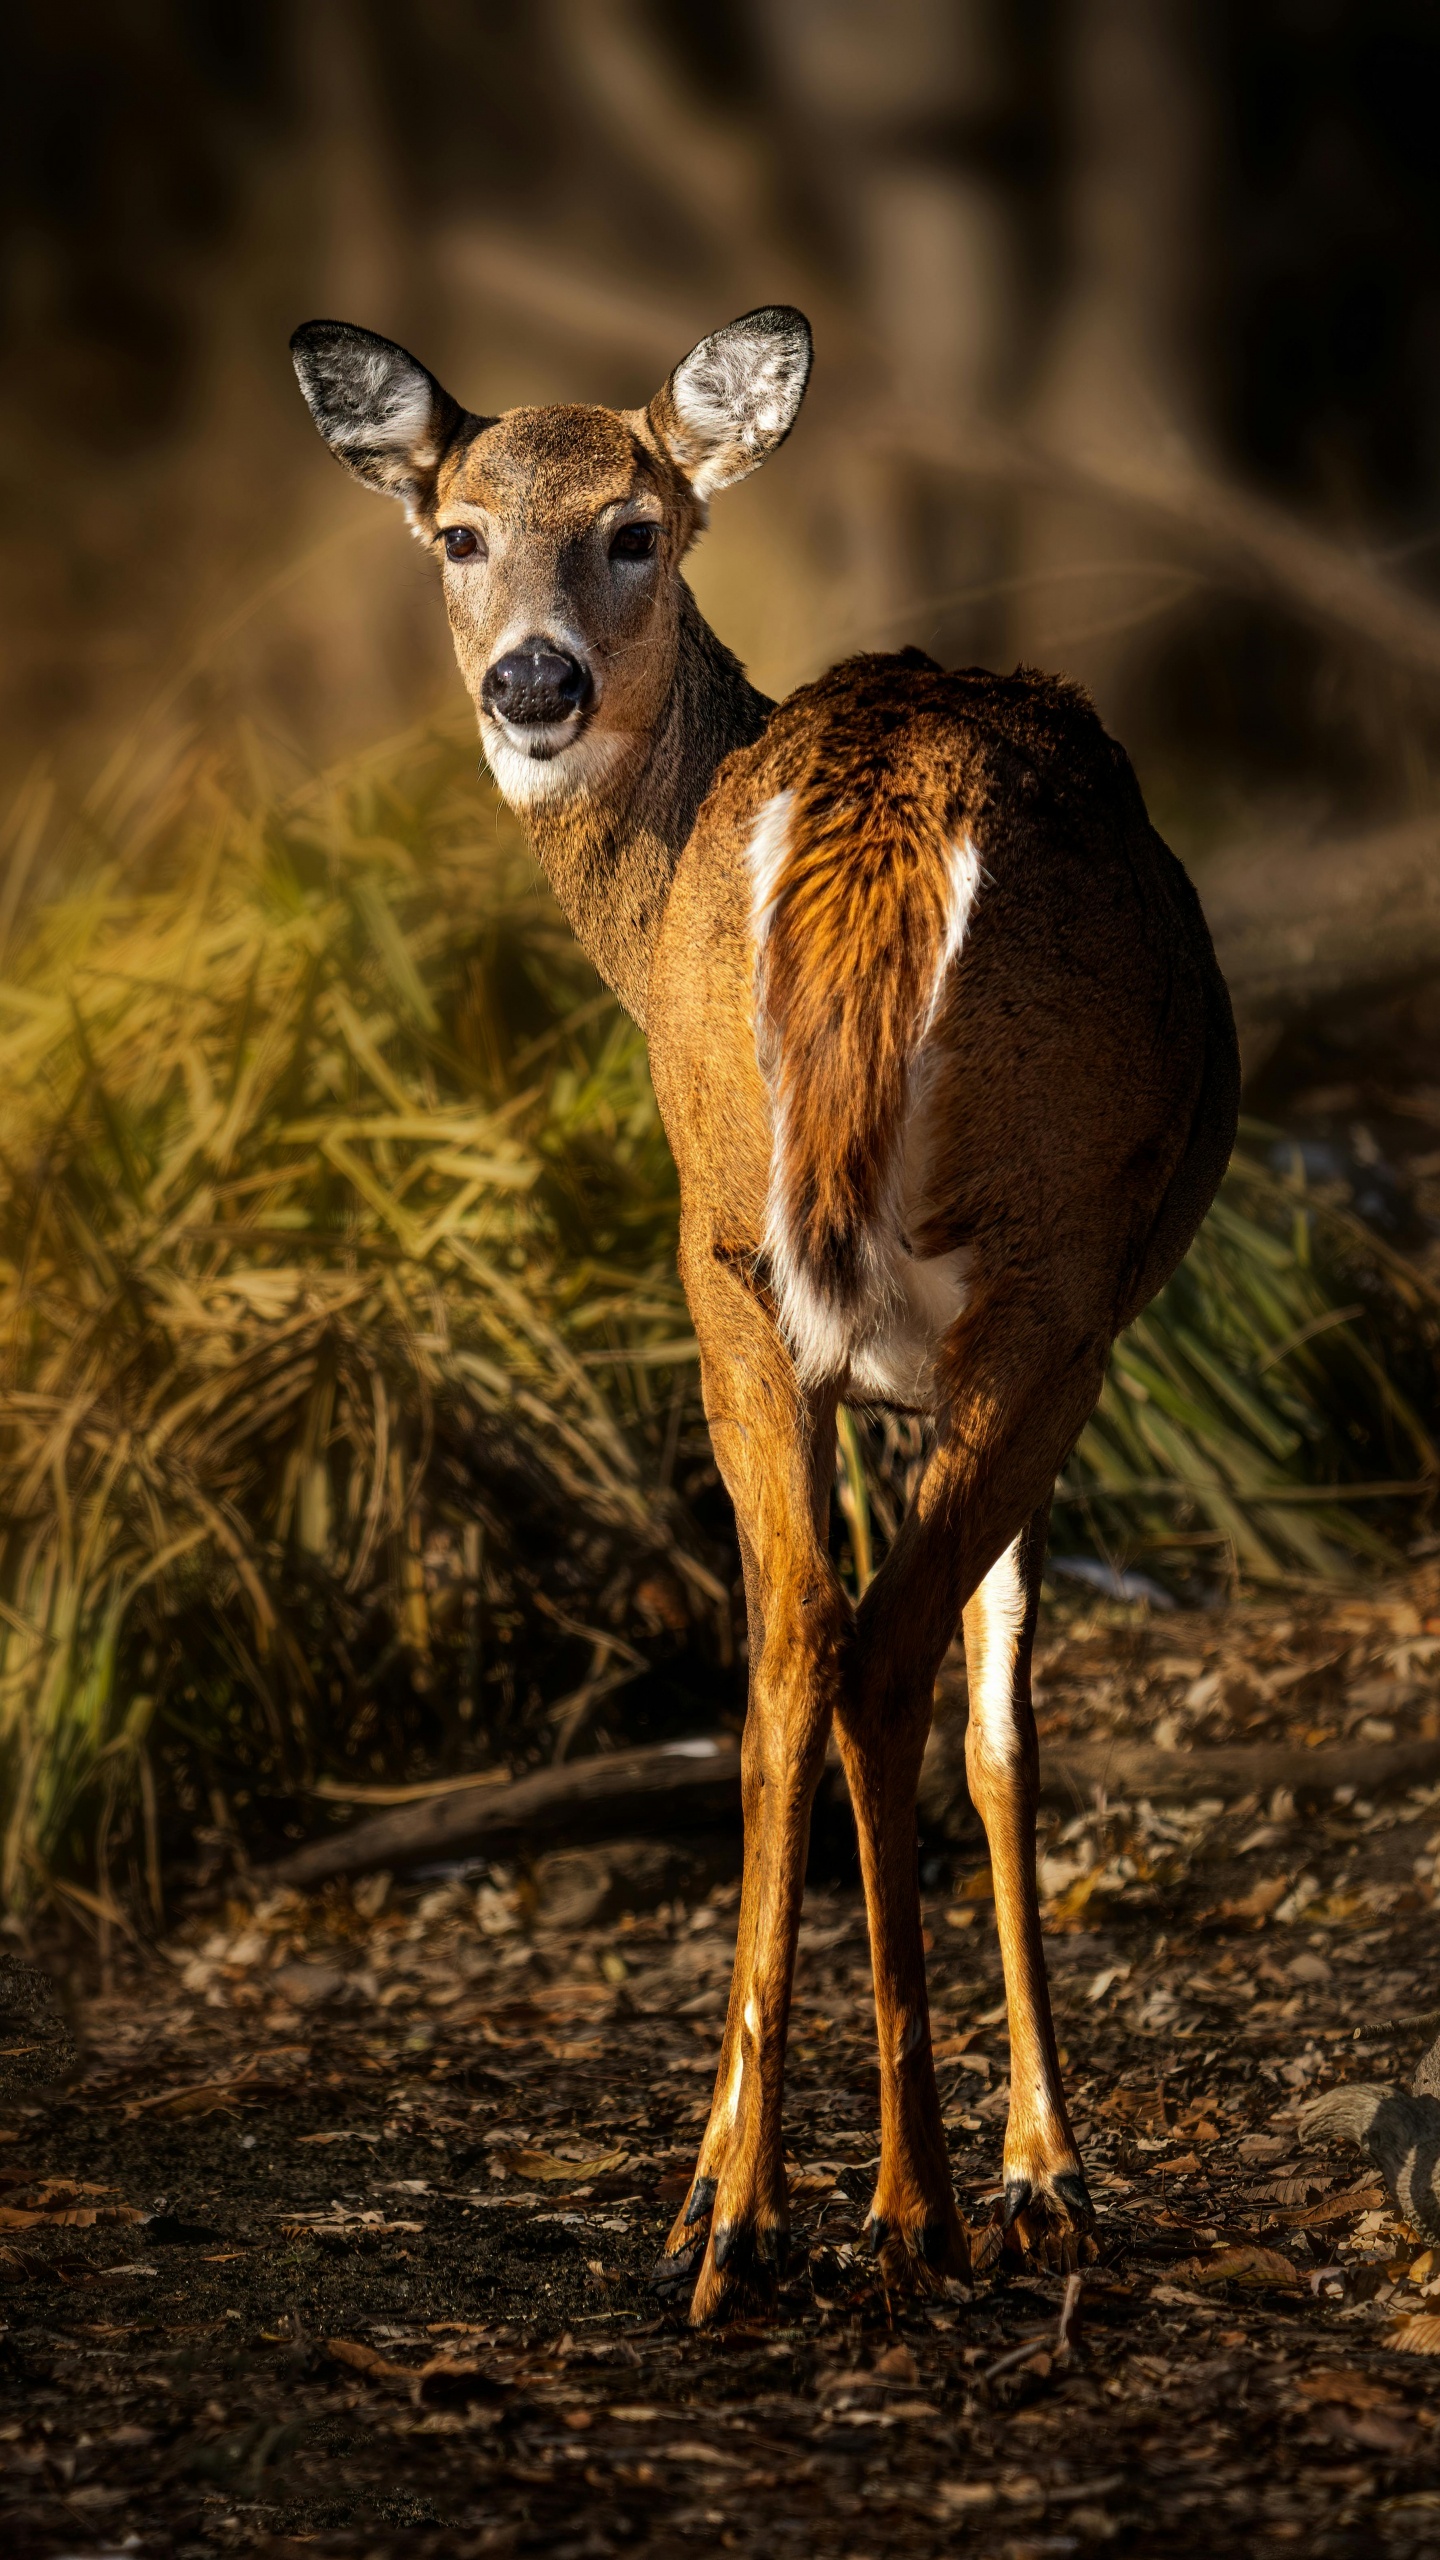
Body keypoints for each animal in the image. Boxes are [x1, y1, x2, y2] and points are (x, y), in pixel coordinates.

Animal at [292, 304, 1239, 2324]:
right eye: (457, 533)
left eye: (636, 527)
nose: (536, 681)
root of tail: (879, 799)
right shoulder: (1023, 1334)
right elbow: (1004, 1724)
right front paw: (1047, 2172)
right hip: (1034, 1271)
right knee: (878, 1657)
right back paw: (912, 2208)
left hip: (736, 1239)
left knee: (795, 1653)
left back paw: (740, 2207)